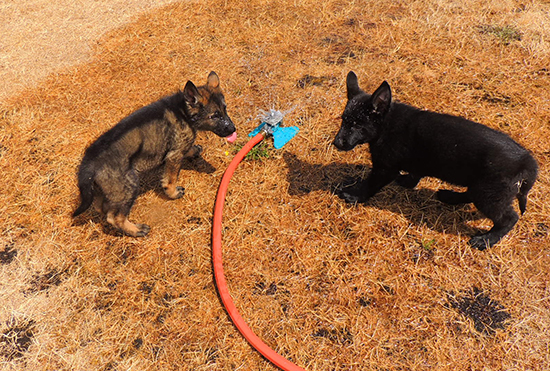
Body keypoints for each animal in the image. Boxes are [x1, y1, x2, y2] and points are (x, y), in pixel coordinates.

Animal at [74, 71, 237, 237]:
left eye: (225, 109)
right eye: (214, 116)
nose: (233, 129)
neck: (183, 112)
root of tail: (89, 163)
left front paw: (193, 150)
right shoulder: (174, 156)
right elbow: (170, 179)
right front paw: (172, 193)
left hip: (106, 190)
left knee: (101, 207)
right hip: (128, 186)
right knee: (114, 217)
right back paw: (136, 230)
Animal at [334, 70, 540, 250]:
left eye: (356, 125)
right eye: (344, 121)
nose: (336, 143)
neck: (385, 124)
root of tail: (527, 161)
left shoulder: (385, 168)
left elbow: (370, 184)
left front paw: (354, 195)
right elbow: (415, 173)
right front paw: (407, 181)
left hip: (490, 193)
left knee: (508, 218)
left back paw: (487, 240)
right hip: (483, 187)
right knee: (471, 194)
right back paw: (450, 197)